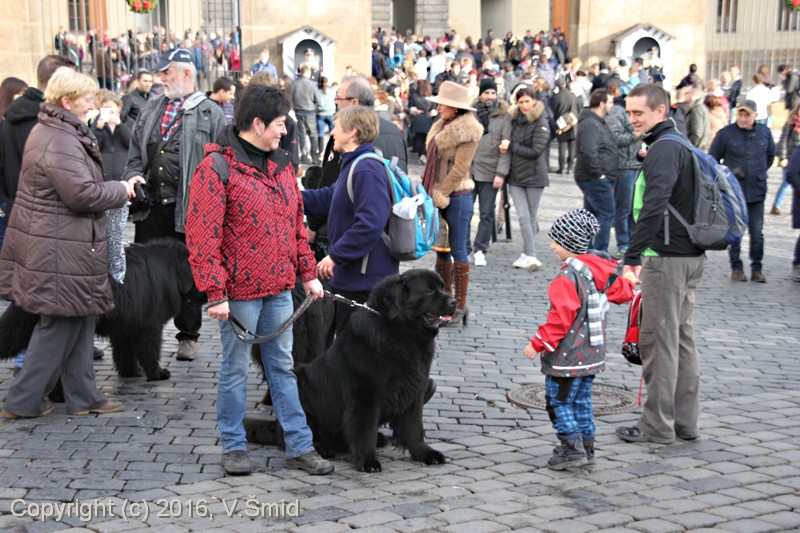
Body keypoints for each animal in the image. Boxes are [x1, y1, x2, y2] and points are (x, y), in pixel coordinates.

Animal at [0, 239, 204, 382]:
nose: (208, 296)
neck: (170, 270)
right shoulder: (149, 325)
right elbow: (150, 351)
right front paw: (158, 374)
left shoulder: (125, 325)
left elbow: (124, 353)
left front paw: (131, 373)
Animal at [245, 269, 456, 472]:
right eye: (429, 291)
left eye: (442, 287)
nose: (454, 302)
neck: (402, 335)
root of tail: (275, 426)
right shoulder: (365, 395)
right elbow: (364, 431)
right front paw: (368, 461)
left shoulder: (413, 390)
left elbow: (414, 428)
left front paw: (426, 453)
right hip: (299, 383)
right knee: (296, 435)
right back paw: (322, 448)